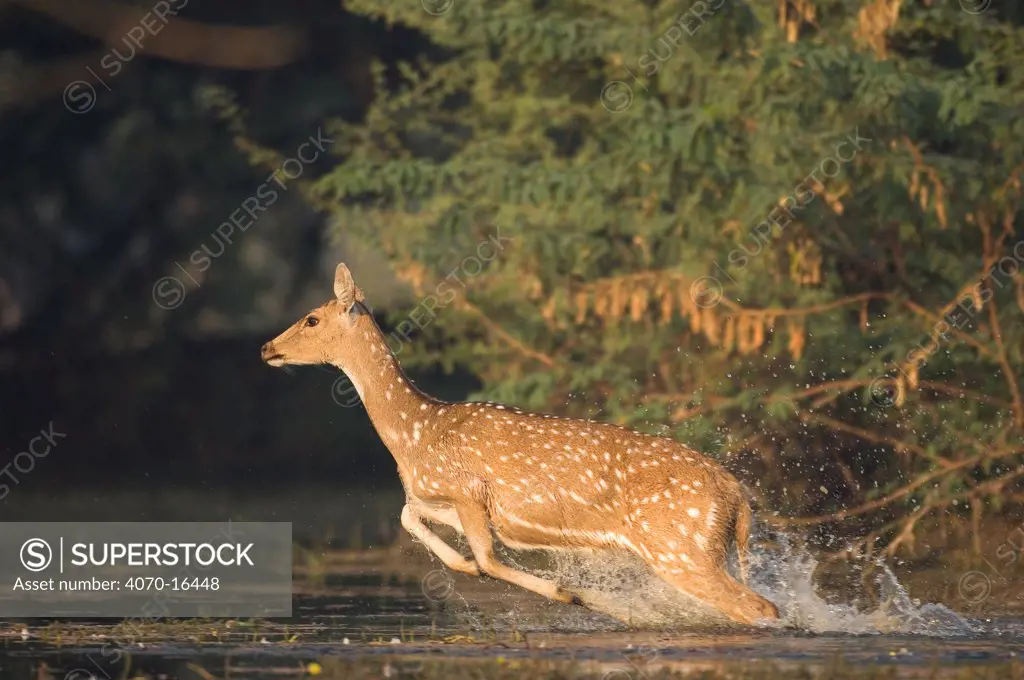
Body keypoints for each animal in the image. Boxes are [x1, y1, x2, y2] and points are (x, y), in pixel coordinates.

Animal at [262, 262, 774, 622]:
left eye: (311, 319)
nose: (267, 348)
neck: (415, 435)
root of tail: (736, 493)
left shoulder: (469, 491)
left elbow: (487, 558)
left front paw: (572, 594)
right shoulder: (445, 496)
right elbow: (410, 515)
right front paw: (467, 565)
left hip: (679, 548)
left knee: (758, 607)